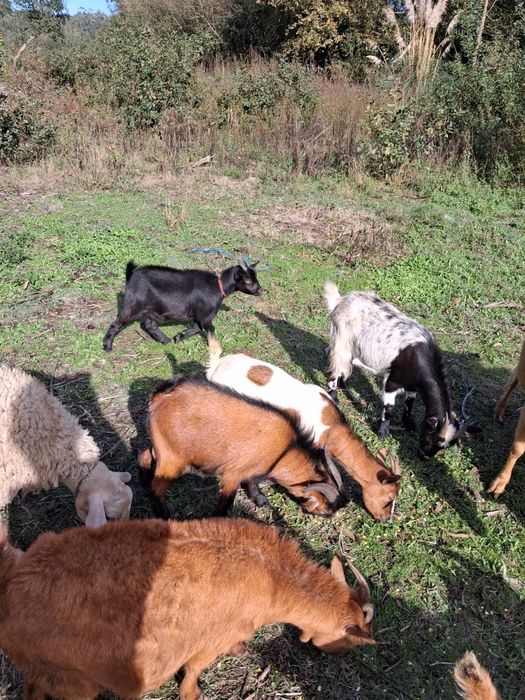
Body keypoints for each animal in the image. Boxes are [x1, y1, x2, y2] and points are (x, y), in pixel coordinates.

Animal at [0, 518, 374, 700]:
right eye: (351, 638)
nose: (341, 654)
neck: (271, 578)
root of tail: (12, 585)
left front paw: (240, 650)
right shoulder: (210, 640)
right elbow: (194, 669)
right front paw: (192, 693)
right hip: (76, 684)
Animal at [103, 259, 261, 352]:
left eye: (255, 277)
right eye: (247, 280)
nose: (260, 290)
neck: (219, 287)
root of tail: (131, 275)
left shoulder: (199, 316)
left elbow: (196, 328)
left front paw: (179, 336)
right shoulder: (205, 316)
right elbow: (210, 331)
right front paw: (215, 348)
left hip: (153, 308)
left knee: (149, 324)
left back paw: (166, 340)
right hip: (133, 306)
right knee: (116, 324)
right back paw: (107, 346)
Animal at [138, 375, 346, 518]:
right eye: (326, 512)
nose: (330, 517)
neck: (285, 451)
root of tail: (161, 396)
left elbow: (252, 482)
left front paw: (260, 499)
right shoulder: (233, 475)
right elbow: (226, 503)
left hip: (162, 445)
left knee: (145, 455)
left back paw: (143, 480)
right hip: (174, 458)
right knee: (156, 489)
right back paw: (165, 516)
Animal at [324, 282, 468, 459]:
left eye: (443, 447)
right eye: (431, 438)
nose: (424, 457)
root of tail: (340, 300)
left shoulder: (413, 385)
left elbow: (410, 402)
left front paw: (409, 424)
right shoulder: (392, 381)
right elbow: (389, 407)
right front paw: (383, 432)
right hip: (341, 341)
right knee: (336, 367)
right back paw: (333, 396)